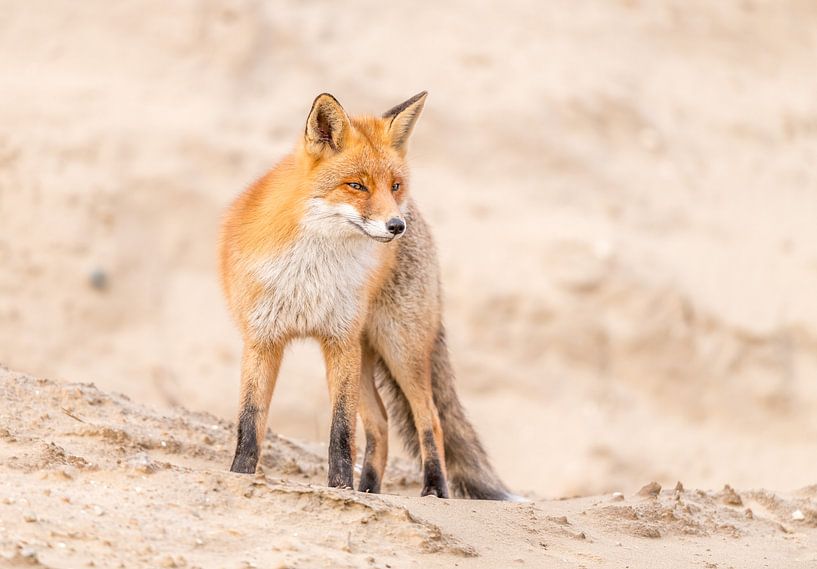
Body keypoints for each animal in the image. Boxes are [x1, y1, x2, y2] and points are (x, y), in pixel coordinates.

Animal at [217, 91, 510, 500]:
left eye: (395, 185)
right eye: (357, 186)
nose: (396, 226)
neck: (311, 270)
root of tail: (418, 216)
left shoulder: (339, 341)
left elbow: (341, 431)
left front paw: (340, 487)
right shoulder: (262, 339)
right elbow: (250, 421)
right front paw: (240, 476)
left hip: (400, 348)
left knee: (430, 417)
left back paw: (434, 489)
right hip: (368, 352)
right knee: (381, 424)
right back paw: (369, 489)